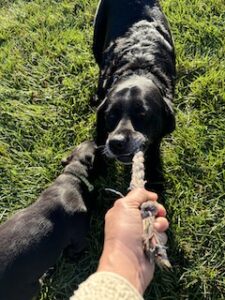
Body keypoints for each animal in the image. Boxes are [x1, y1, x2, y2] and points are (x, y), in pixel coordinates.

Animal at [0, 141, 96, 300]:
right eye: (98, 149)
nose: (93, 140)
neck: (72, 175)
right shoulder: (79, 237)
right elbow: (75, 250)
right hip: (31, 288)